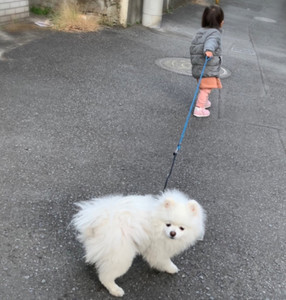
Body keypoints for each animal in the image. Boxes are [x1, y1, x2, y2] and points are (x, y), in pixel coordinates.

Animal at [72, 189, 206, 296]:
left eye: (182, 228)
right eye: (168, 224)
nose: (173, 233)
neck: (156, 219)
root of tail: (100, 221)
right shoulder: (157, 248)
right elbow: (163, 260)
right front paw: (171, 268)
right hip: (121, 255)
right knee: (105, 276)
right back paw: (115, 290)